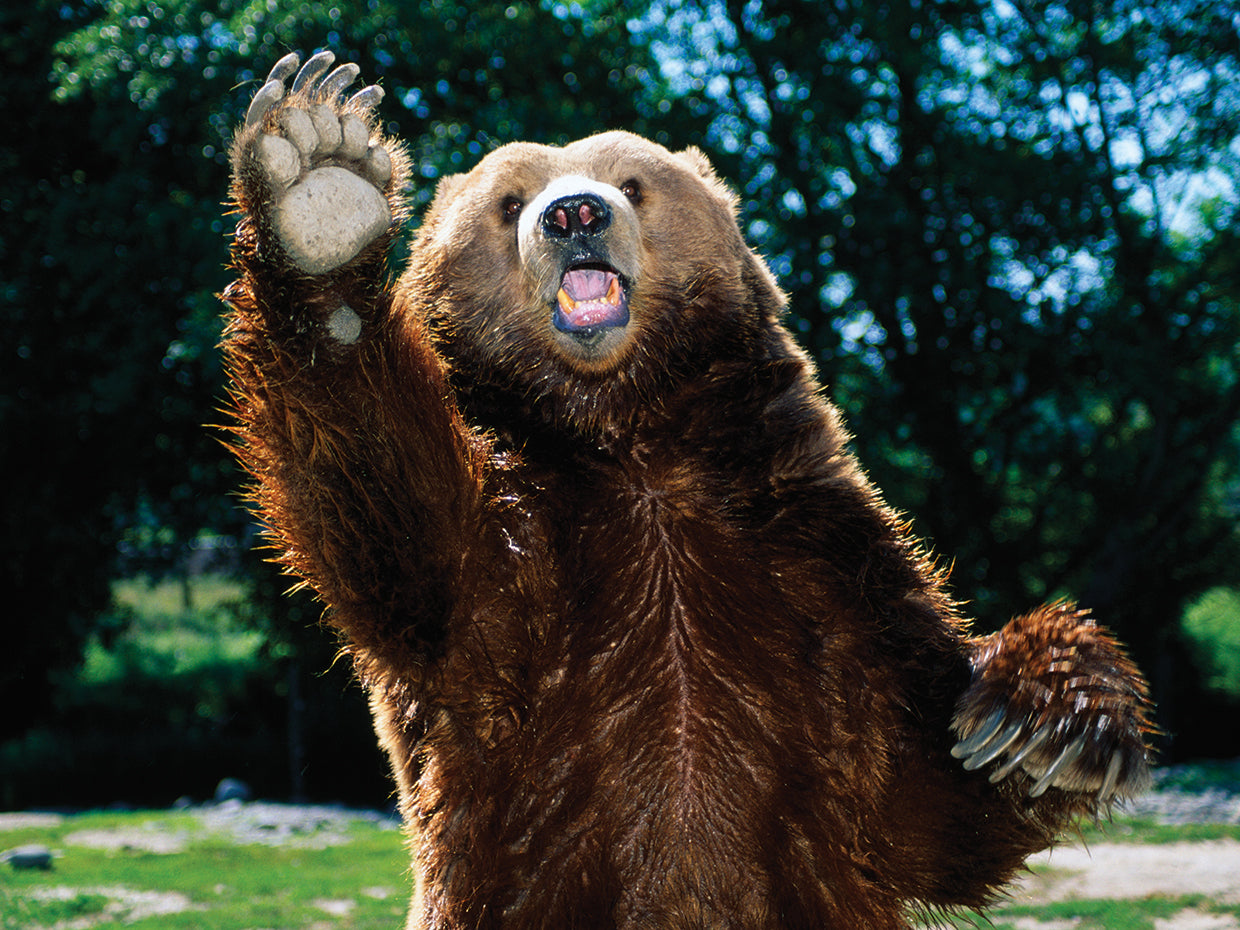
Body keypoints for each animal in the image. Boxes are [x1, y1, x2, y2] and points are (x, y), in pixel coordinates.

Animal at [221, 51, 1153, 929]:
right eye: (508, 201)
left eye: (633, 181)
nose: (575, 214)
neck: (628, 436)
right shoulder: (501, 589)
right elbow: (386, 500)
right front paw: (318, 181)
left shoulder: (812, 553)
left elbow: (924, 791)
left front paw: (1041, 722)